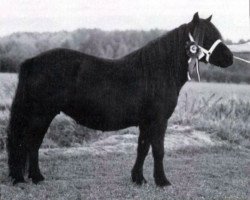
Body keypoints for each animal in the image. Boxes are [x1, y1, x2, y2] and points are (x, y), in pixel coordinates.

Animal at [6, 12, 232, 185]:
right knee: (31, 143)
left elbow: (142, 149)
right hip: (41, 115)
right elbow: (158, 150)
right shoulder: (158, 121)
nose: (230, 58)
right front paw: (162, 181)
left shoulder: (146, 122)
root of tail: (33, 61)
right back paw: (35, 177)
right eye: (206, 36)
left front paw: (138, 179)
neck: (156, 71)